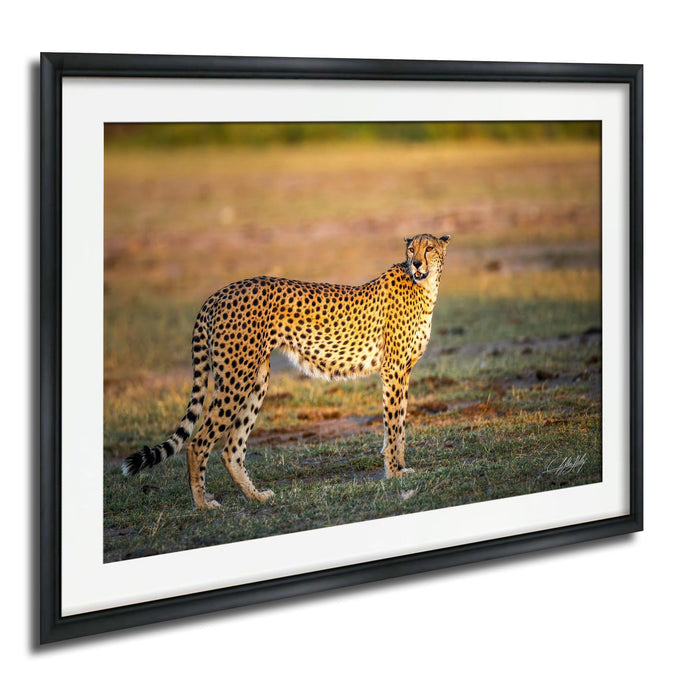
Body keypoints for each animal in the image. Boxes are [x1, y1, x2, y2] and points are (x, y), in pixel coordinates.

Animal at [121, 233, 450, 509]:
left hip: (256, 378)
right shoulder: (393, 369)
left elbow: (400, 425)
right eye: (411, 249)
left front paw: (400, 467)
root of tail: (218, 293)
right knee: (198, 442)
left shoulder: (403, 372)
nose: (416, 263)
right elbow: (393, 426)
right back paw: (203, 504)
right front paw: (394, 473)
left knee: (231, 449)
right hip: (236, 377)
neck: (425, 288)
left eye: (429, 247)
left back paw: (255, 496)